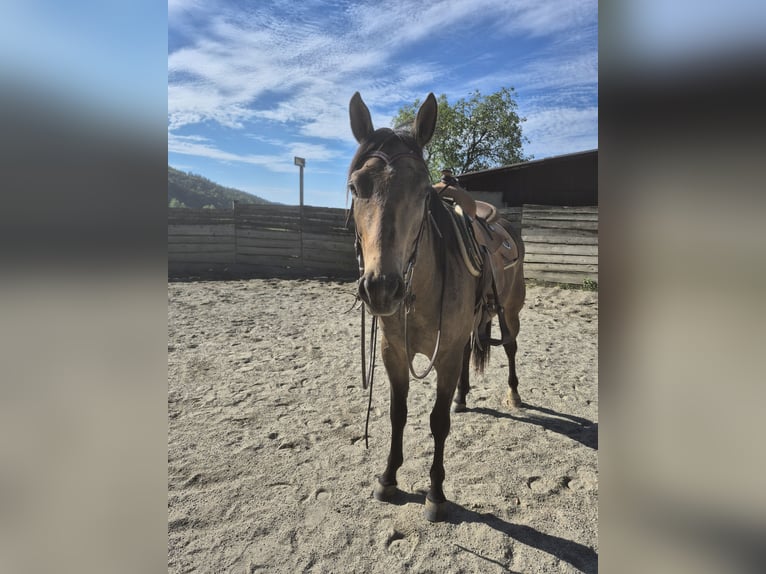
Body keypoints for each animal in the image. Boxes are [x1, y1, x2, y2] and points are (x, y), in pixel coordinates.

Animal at [347, 92, 525, 522]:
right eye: (356, 187)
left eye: (422, 190)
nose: (382, 288)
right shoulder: (394, 352)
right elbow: (398, 414)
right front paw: (388, 479)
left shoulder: (442, 354)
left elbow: (437, 421)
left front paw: (436, 493)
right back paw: (463, 397)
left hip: (510, 311)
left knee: (511, 347)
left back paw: (513, 395)